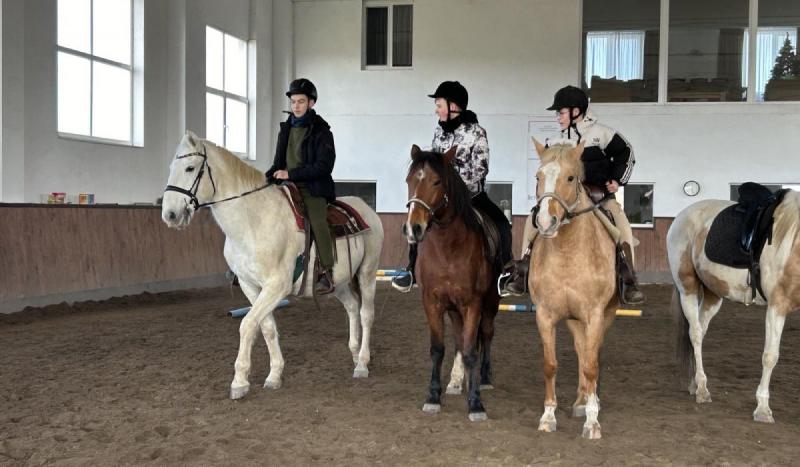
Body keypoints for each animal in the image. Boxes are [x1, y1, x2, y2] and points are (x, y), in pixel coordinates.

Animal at [162, 131, 384, 398]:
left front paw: (239, 381)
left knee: (366, 314)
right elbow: (266, 326)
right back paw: (353, 353)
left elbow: (247, 324)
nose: (169, 214)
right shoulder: (250, 285)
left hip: (367, 273)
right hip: (338, 281)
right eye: (171, 167)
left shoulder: (276, 286)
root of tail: (366, 210)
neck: (253, 221)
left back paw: (362, 363)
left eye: (190, 167)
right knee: (352, 306)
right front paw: (274, 374)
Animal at [406, 145, 500, 420]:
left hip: (490, 303)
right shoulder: (433, 302)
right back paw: (458, 380)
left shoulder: (473, 304)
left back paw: (483, 378)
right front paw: (433, 397)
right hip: (455, 309)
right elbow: (439, 349)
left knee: (486, 335)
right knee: (459, 338)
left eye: (437, 181)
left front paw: (476, 402)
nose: (414, 228)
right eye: (409, 180)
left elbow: (470, 350)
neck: (448, 247)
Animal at [532, 139, 620, 438]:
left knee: (592, 353)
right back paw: (582, 399)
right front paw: (548, 417)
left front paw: (592, 423)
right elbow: (550, 366)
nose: (545, 222)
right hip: (573, 319)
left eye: (570, 178)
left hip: (605, 315)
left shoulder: (594, 315)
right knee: (581, 349)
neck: (569, 252)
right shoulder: (545, 315)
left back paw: (589, 402)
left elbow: (592, 366)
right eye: (538, 177)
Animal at [668, 188, 800, 422]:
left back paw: (695, 384)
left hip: (713, 295)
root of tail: (681, 216)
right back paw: (702, 390)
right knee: (695, 333)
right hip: (687, 289)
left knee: (700, 332)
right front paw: (762, 409)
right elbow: (770, 356)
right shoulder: (777, 306)